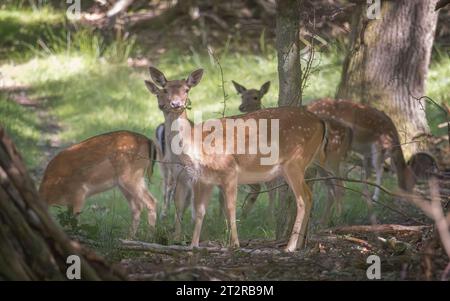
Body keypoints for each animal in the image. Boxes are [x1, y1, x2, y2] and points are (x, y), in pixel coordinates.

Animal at [146, 66, 326, 251]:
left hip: (295, 160)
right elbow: (200, 211)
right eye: (165, 89)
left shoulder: (229, 169)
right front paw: (193, 245)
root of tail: (320, 122)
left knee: (302, 199)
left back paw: (290, 246)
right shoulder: (204, 179)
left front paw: (235, 244)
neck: (196, 144)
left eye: (187, 89)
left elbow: (230, 208)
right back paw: (299, 245)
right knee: (309, 196)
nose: (176, 104)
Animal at [232, 80, 356, 223]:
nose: (241, 107)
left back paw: (338, 217)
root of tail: (349, 130)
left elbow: (271, 189)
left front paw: (270, 219)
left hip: (332, 159)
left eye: (255, 97)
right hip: (320, 164)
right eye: (242, 96)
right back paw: (325, 220)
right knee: (331, 188)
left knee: (340, 185)